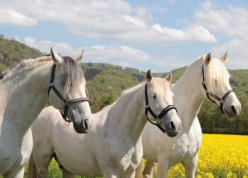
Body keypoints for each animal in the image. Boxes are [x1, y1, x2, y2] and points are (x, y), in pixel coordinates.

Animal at [28, 71, 181, 178]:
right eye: (154, 96)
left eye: (172, 96)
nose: (175, 125)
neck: (120, 130)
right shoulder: (110, 172)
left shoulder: (129, 173)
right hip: (42, 162)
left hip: (66, 166)